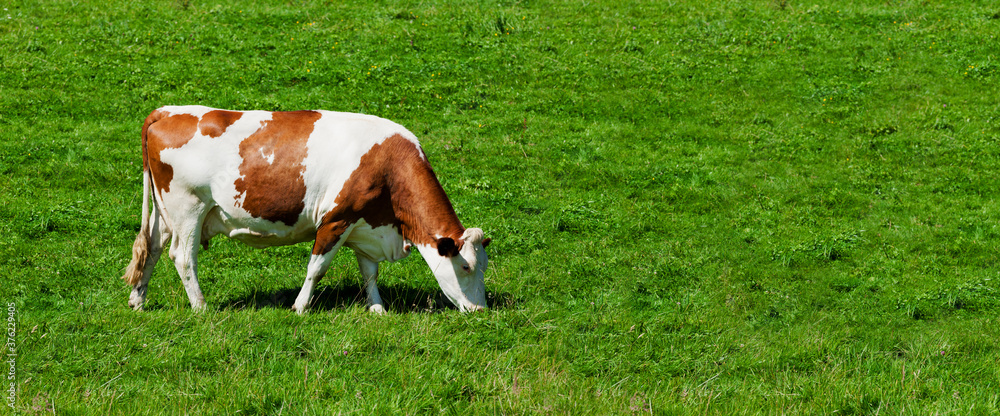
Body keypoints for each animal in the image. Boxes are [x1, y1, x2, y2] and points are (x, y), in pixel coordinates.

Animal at [123, 105, 490, 314]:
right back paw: (201, 308)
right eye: (466, 267)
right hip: (189, 207)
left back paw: (138, 301)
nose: (481, 309)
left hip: (164, 213)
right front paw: (300, 307)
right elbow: (317, 268)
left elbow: (369, 272)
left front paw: (377, 309)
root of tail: (167, 110)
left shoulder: (366, 225)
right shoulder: (336, 220)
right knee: (183, 257)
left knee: (152, 248)